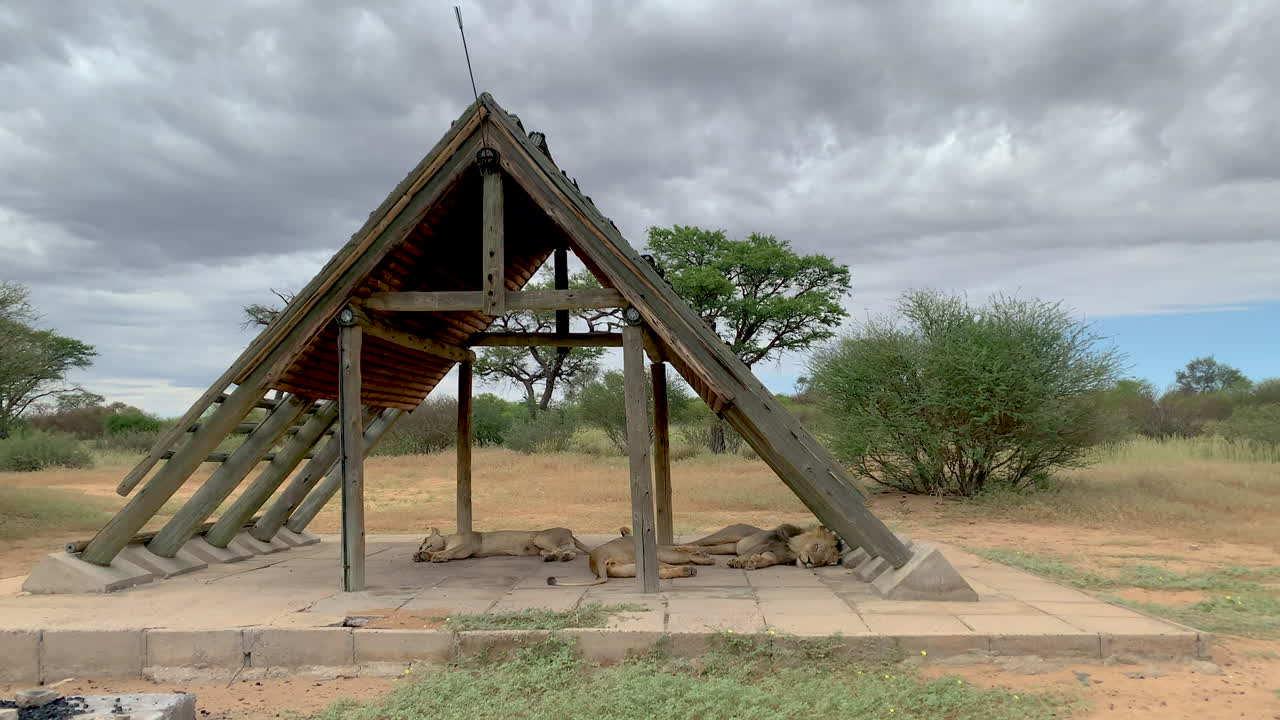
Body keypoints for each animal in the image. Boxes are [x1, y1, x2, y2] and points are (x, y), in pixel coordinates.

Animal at [546, 527, 715, 586]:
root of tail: (596, 559)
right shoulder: (661, 550)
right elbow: (680, 550)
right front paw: (702, 555)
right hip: (647, 558)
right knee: (669, 566)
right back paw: (691, 569)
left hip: (631, 568)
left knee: (663, 573)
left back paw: (688, 571)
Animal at [675, 523, 840, 570]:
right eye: (816, 546)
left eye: (823, 562)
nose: (810, 562)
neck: (792, 552)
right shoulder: (764, 544)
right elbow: (747, 554)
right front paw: (738, 562)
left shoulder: (776, 556)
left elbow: (768, 560)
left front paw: (755, 562)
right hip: (725, 535)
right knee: (699, 541)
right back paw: (679, 547)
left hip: (727, 547)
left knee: (705, 548)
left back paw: (695, 552)